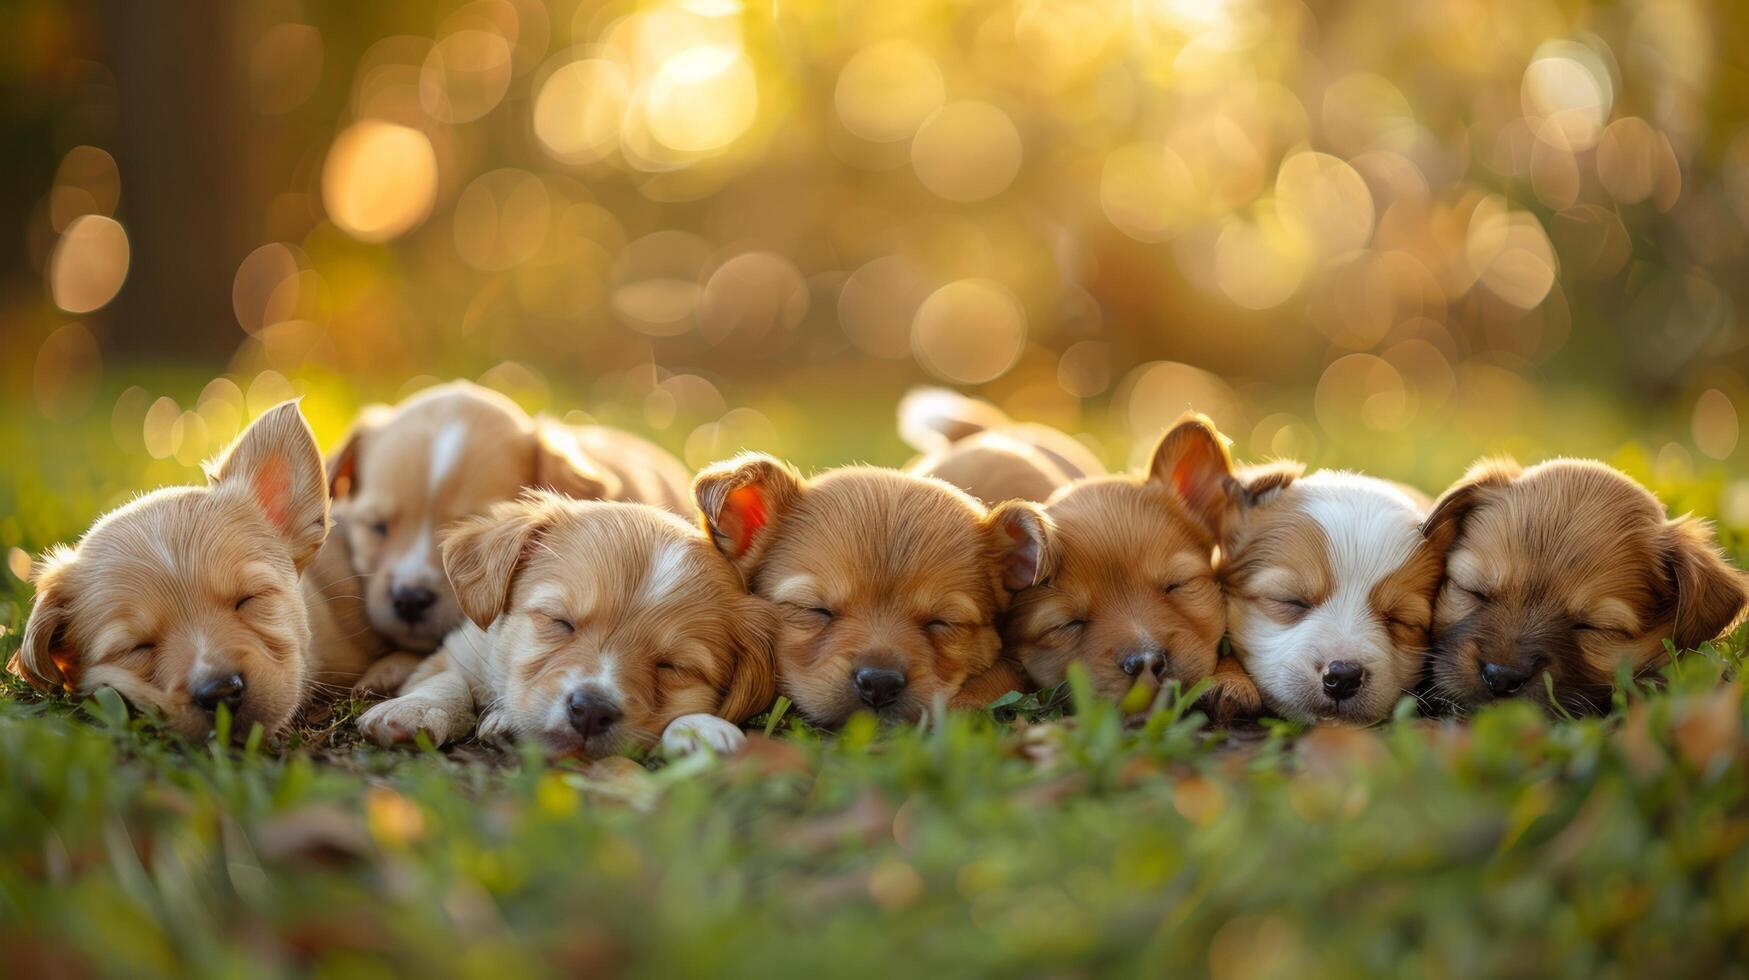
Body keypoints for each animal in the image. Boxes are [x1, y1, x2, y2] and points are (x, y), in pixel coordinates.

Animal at [358, 497, 776, 759]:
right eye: (561, 622)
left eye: (674, 667)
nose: (590, 711)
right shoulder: (459, 648)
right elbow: (445, 680)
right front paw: (414, 711)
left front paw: (702, 728)